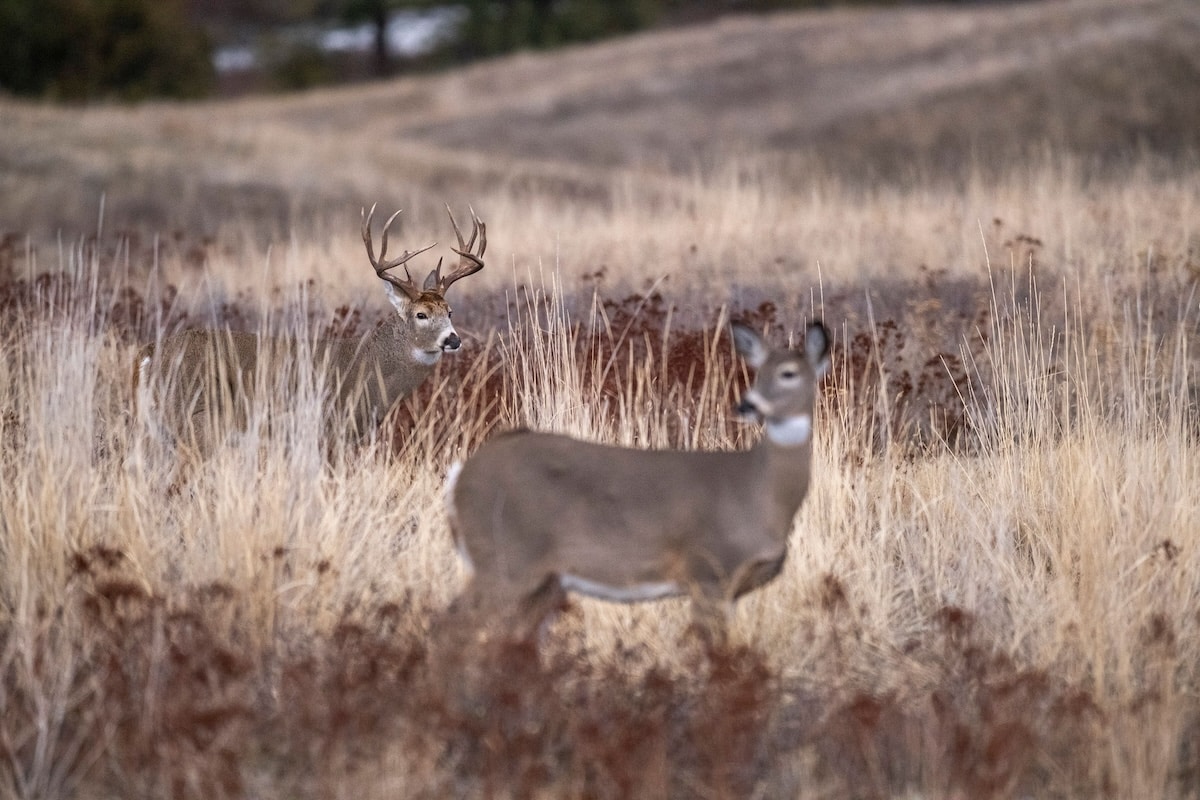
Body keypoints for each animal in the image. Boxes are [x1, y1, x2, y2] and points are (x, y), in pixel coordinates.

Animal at [133, 204, 486, 459]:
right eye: (421, 314)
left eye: (450, 312)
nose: (453, 340)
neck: (367, 369)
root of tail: (150, 354)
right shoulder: (328, 428)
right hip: (197, 424)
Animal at [444, 320, 831, 645]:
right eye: (757, 371)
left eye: (788, 373)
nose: (747, 406)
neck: (758, 492)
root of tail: (460, 476)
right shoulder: (708, 570)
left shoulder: (730, 588)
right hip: (505, 559)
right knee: (450, 625)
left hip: (538, 580)